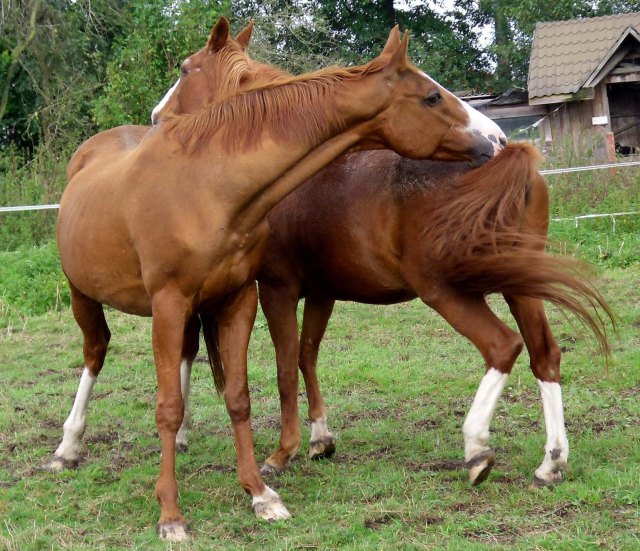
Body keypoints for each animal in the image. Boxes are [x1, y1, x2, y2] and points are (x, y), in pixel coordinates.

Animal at [53, 22, 506, 541]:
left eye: (185, 71)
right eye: (432, 97)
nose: (496, 139)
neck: (207, 187)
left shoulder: (238, 301)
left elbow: (243, 395)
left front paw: (261, 492)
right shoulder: (192, 300)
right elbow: (177, 403)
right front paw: (171, 514)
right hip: (84, 295)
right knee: (95, 354)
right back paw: (67, 447)